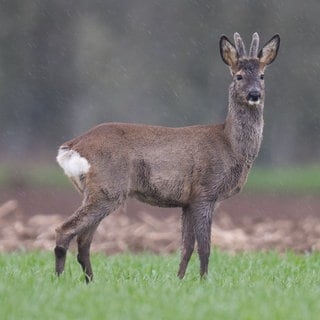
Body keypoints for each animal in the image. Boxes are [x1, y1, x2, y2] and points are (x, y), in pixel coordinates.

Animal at [55, 32, 280, 282]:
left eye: (262, 75)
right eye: (238, 76)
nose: (254, 94)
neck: (230, 145)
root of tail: (72, 146)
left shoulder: (188, 201)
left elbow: (186, 246)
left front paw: (179, 280)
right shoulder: (205, 192)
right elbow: (205, 247)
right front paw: (204, 281)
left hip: (97, 192)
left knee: (84, 241)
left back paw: (90, 281)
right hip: (108, 189)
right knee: (65, 230)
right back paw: (59, 279)